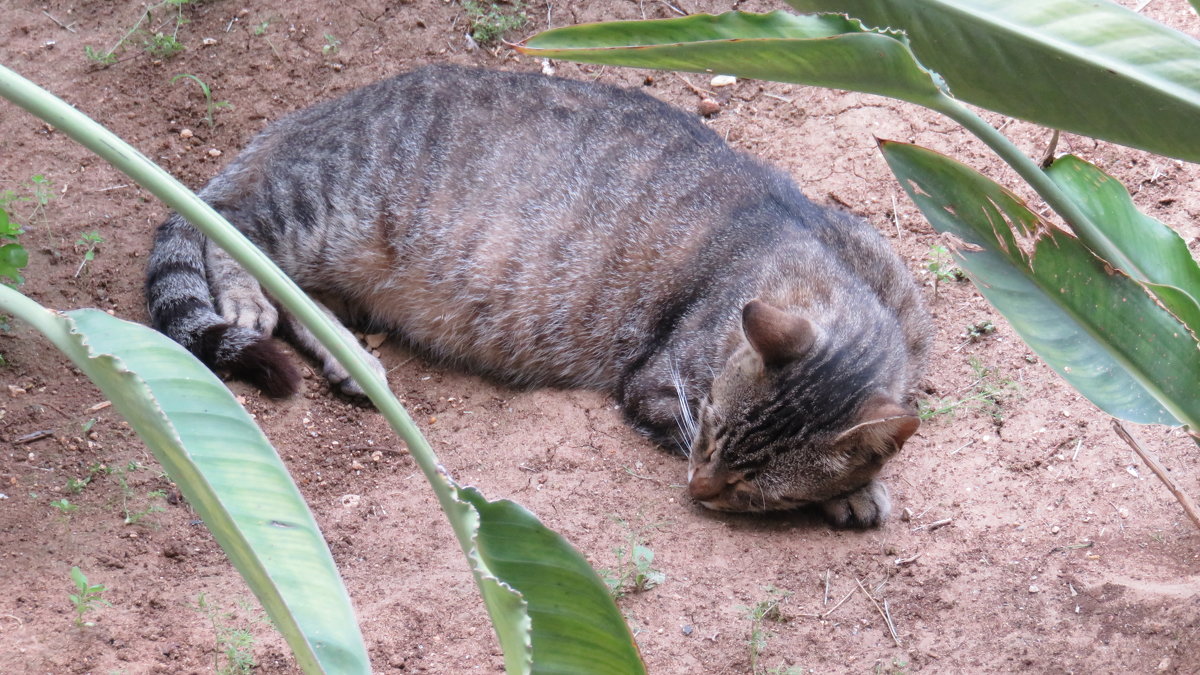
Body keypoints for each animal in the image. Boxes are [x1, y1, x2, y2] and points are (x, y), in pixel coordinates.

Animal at [142, 64, 926, 526]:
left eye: (763, 487)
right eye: (706, 433)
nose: (699, 491)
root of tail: (317, 111)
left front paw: (858, 481)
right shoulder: (658, 386)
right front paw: (854, 490)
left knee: (301, 296)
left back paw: (350, 358)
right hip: (315, 208)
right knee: (231, 230)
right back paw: (248, 297)